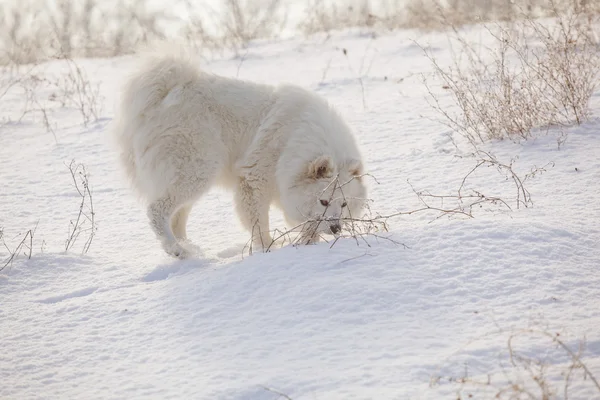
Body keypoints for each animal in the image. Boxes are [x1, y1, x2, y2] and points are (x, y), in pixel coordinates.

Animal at [110, 50, 368, 258]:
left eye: (344, 204)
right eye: (324, 201)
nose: (336, 228)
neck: (292, 140)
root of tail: (163, 95)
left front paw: (306, 242)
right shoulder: (255, 180)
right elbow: (258, 222)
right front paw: (268, 249)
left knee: (176, 218)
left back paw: (189, 249)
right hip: (196, 170)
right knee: (157, 211)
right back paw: (176, 249)